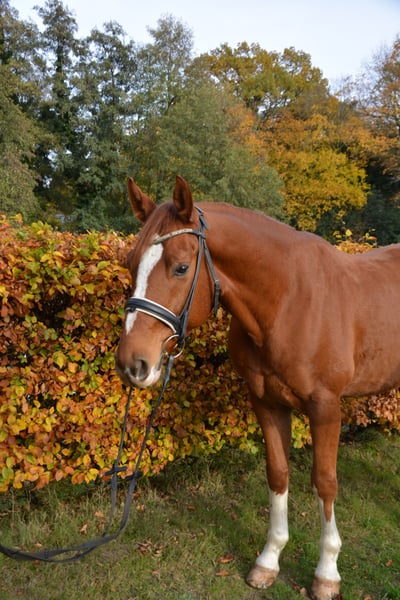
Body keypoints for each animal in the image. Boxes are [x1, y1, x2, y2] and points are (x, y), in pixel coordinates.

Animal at [115, 175, 400, 600]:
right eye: (131, 264)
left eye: (181, 267)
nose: (132, 363)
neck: (286, 301)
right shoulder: (266, 402)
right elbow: (278, 474)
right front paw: (268, 561)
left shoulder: (325, 408)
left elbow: (325, 482)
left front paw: (327, 573)